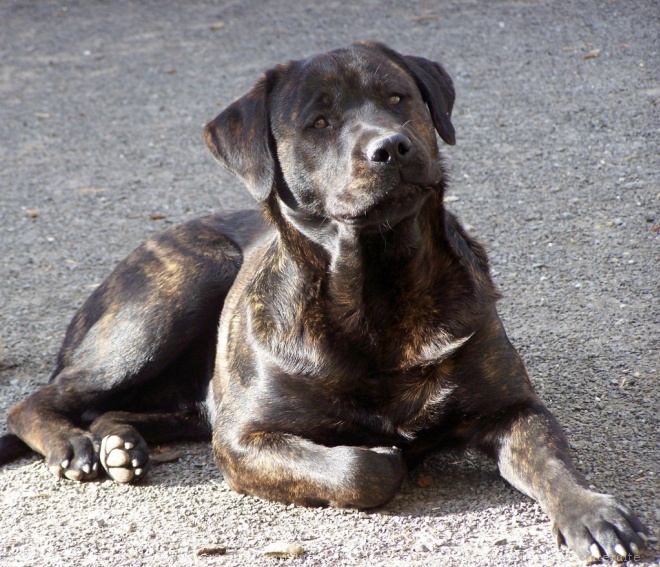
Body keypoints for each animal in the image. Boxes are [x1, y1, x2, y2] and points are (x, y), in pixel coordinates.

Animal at [0, 42, 648, 560]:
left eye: (397, 97)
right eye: (318, 121)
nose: (391, 147)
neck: (378, 289)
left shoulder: (513, 408)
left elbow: (552, 462)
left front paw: (592, 512)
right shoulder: (244, 439)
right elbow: (364, 466)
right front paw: (385, 454)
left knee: (115, 410)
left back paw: (119, 443)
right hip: (175, 296)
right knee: (40, 399)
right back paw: (74, 446)